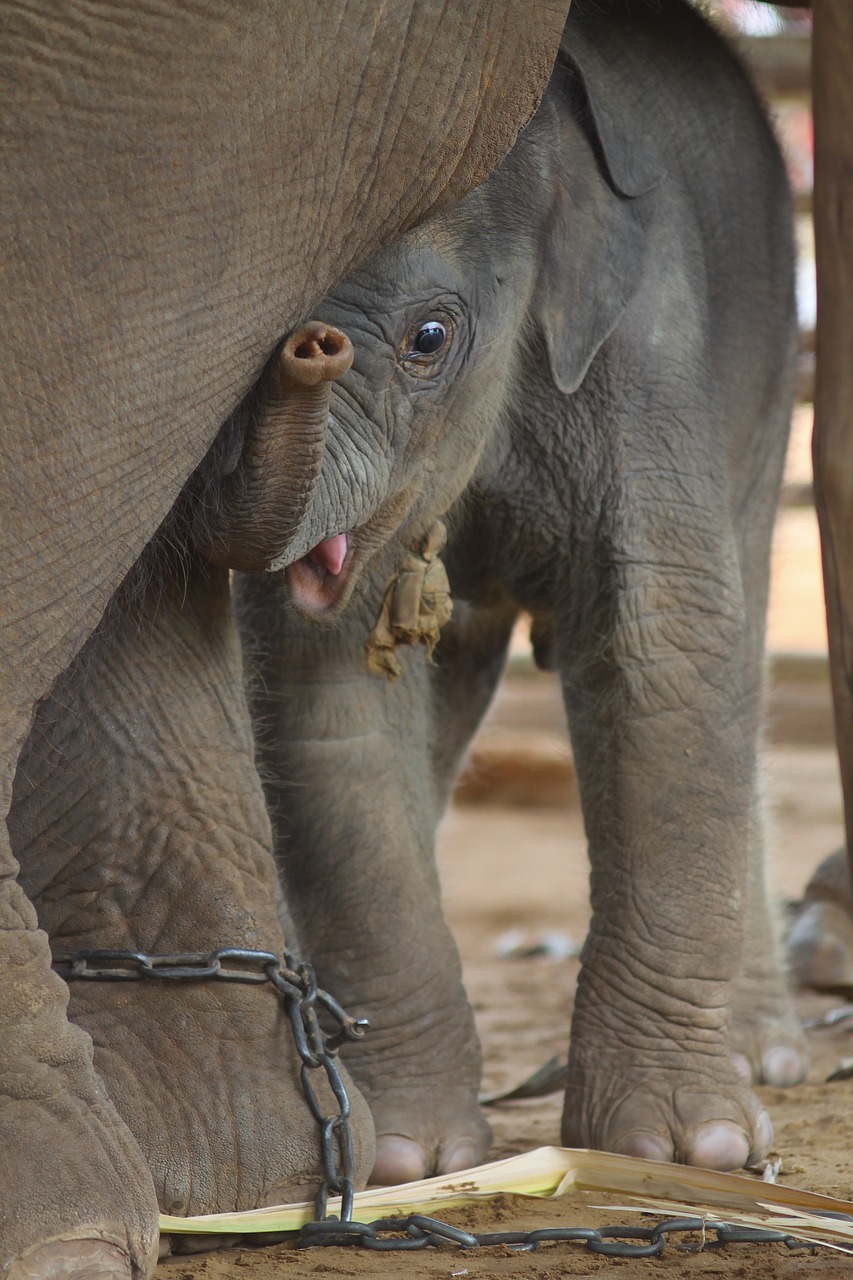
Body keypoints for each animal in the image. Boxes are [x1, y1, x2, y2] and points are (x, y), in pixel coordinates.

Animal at [234, 0, 804, 1182]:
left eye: (428, 339)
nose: (306, 350)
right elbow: (330, 695)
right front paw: (402, 1155)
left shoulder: (647, 353)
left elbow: (666, 649)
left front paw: (688, 1145)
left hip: (772, 371)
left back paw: (761, 1056)